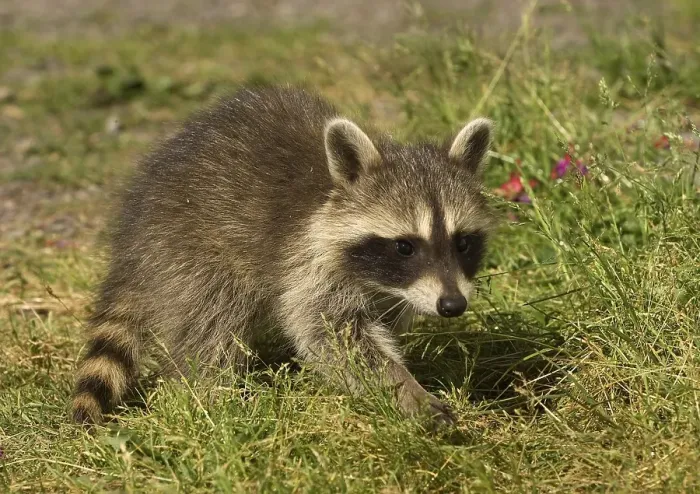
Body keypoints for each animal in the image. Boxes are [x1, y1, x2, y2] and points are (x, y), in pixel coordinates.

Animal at [71, 85, 495, 425]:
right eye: (405, 246)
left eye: (462, 243)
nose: (453, 305)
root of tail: (132, 240)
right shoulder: (310, 263)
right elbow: (331, 334)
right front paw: (405, 390)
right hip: (189, 249)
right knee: (211, 322)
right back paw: (210, 393)